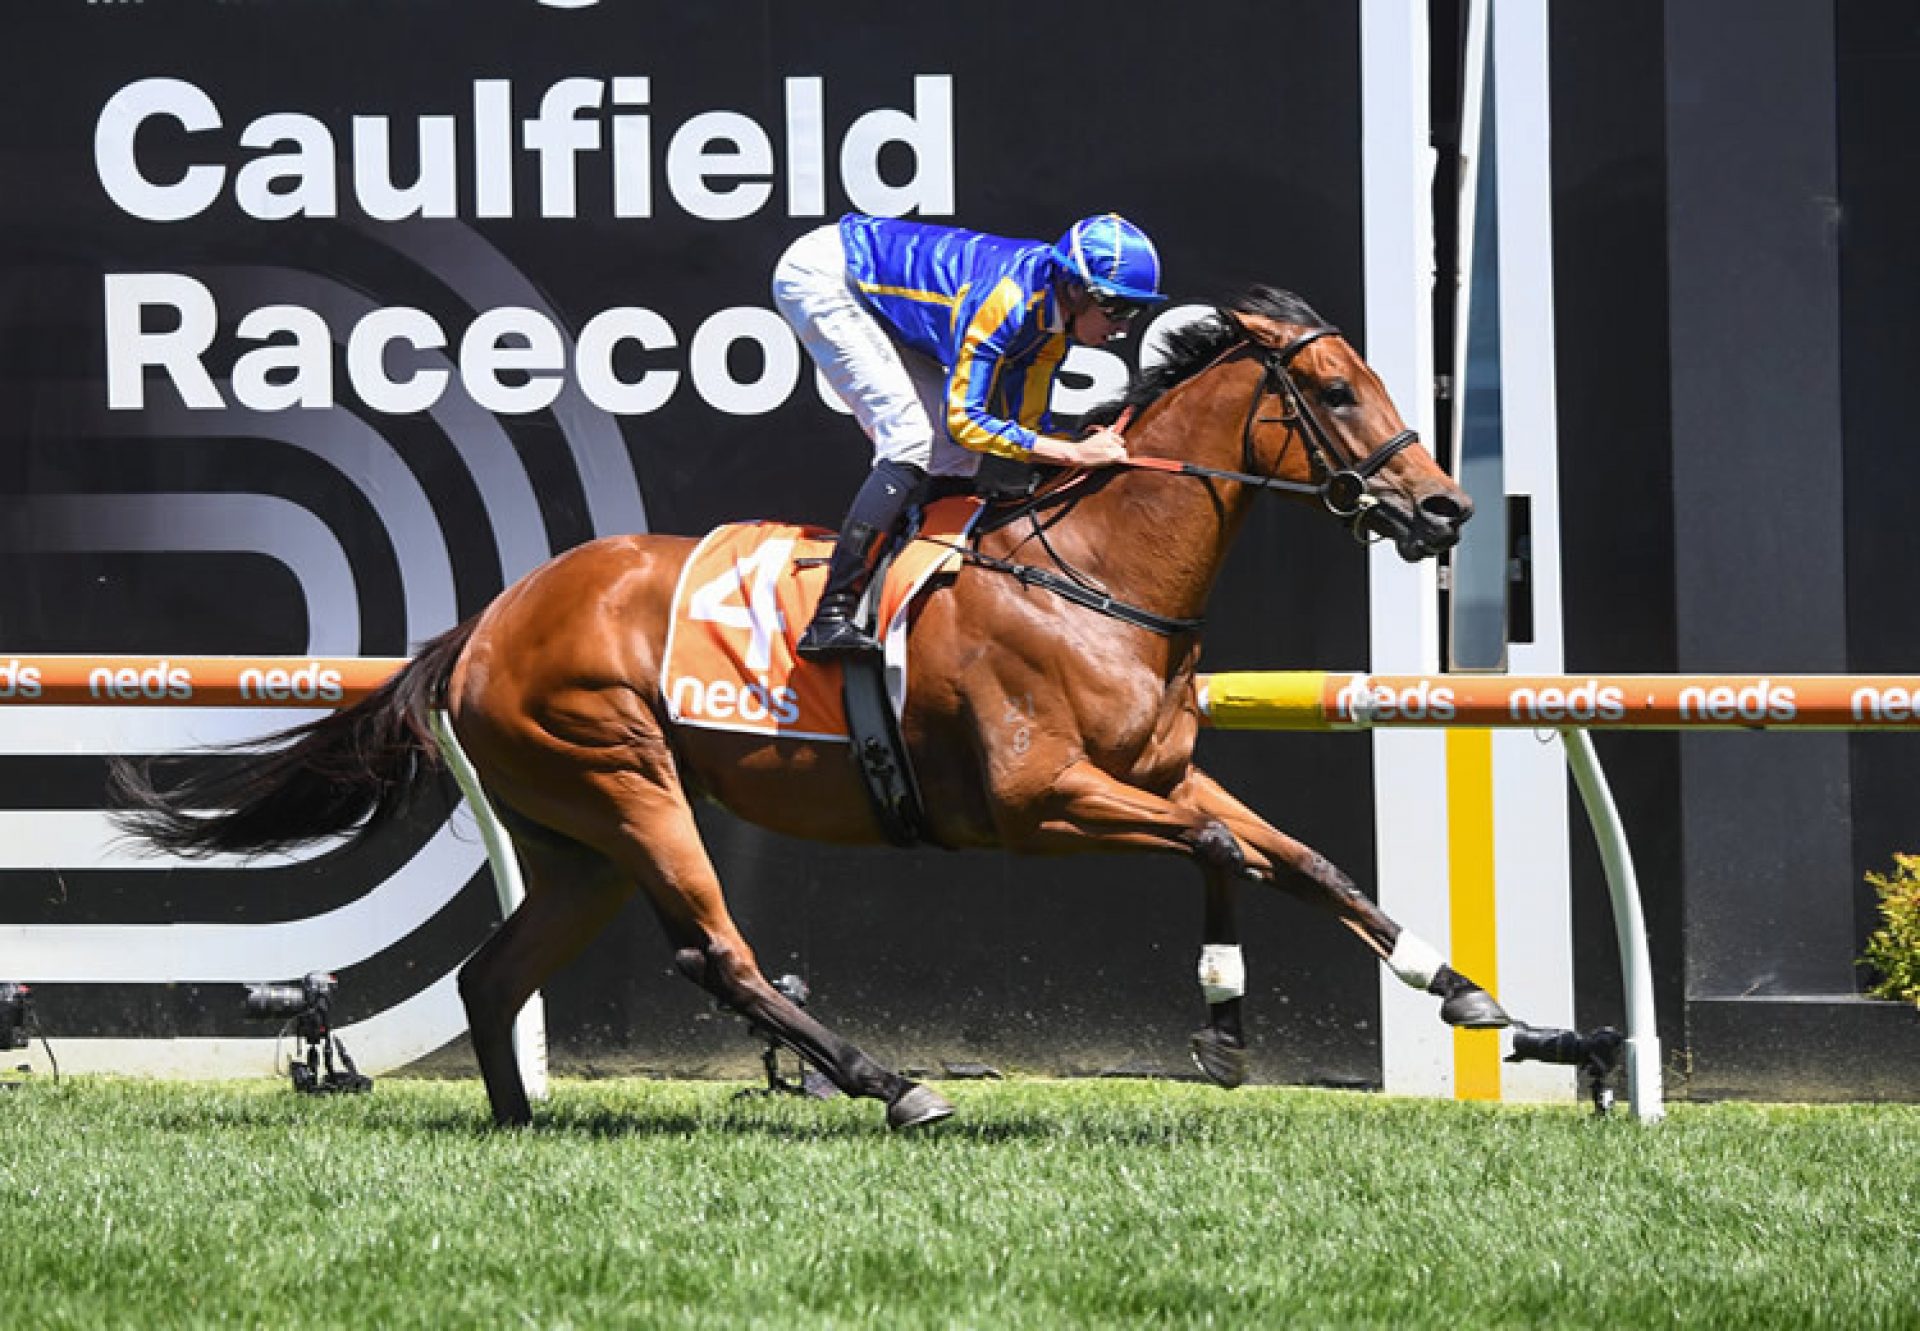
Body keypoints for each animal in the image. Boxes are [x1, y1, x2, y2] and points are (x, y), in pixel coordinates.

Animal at [112, 288, 1505, 1121]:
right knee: (715, 949)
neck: (1091, 573)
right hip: (625, 775)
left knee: (492, 972)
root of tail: (484, 626)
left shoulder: (1154, 773)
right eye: (1337, 393)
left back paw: (520, 1119)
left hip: (580, 842)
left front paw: (1463, 987)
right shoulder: (1040, 799)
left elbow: (1305, 858)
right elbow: (1224, 849)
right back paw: (892, 1082)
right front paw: (1220, 1023)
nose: (1446, 507)